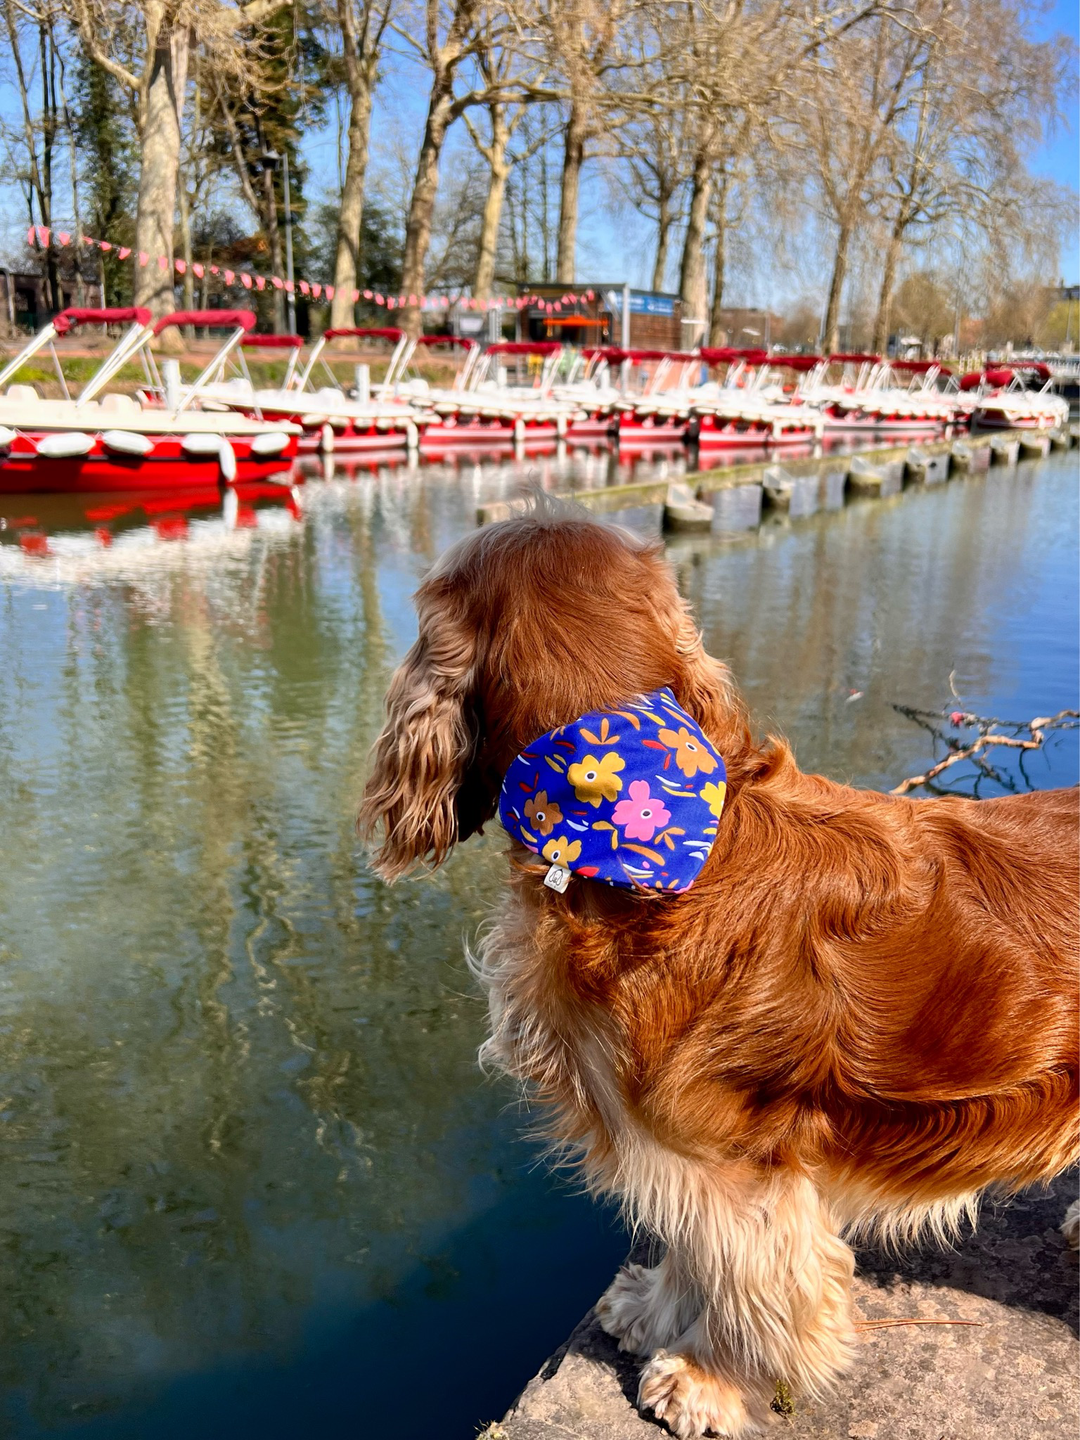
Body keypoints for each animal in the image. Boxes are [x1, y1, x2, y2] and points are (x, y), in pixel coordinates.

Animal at [360, 501, 1077, 1434]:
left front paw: (707, 1378)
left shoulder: (733, 1163)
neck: (628, 824)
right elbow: (691, 1245)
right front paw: (653, 1311)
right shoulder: (670, 1146)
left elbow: (746, 1275)